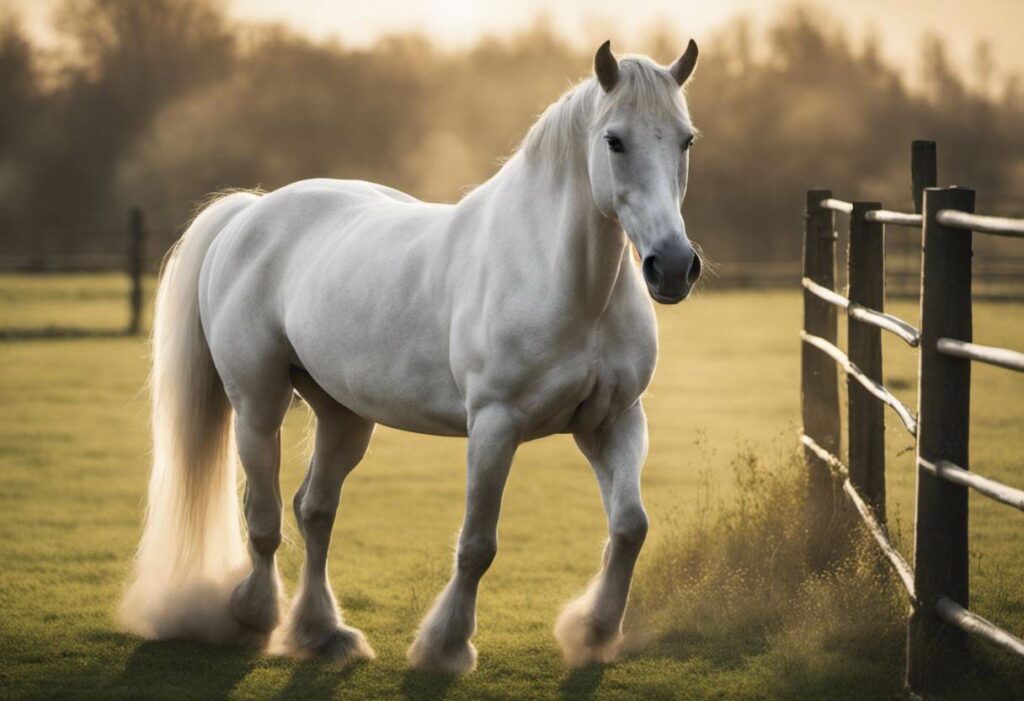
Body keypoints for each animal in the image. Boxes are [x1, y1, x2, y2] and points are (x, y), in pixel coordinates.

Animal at [117, 39, 696, 671]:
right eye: (614, 140)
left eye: (686, 139)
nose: (671, 267)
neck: (561, 278)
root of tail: (249, 213)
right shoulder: (495, 426)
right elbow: (477, 545)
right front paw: (446, 646)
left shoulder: (612, 421)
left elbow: (630, 528)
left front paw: (593, 632)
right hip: (257, 406)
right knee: (265, 520)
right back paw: (255, 616)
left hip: (343, 416)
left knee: (314, 511)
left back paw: (323, 632)